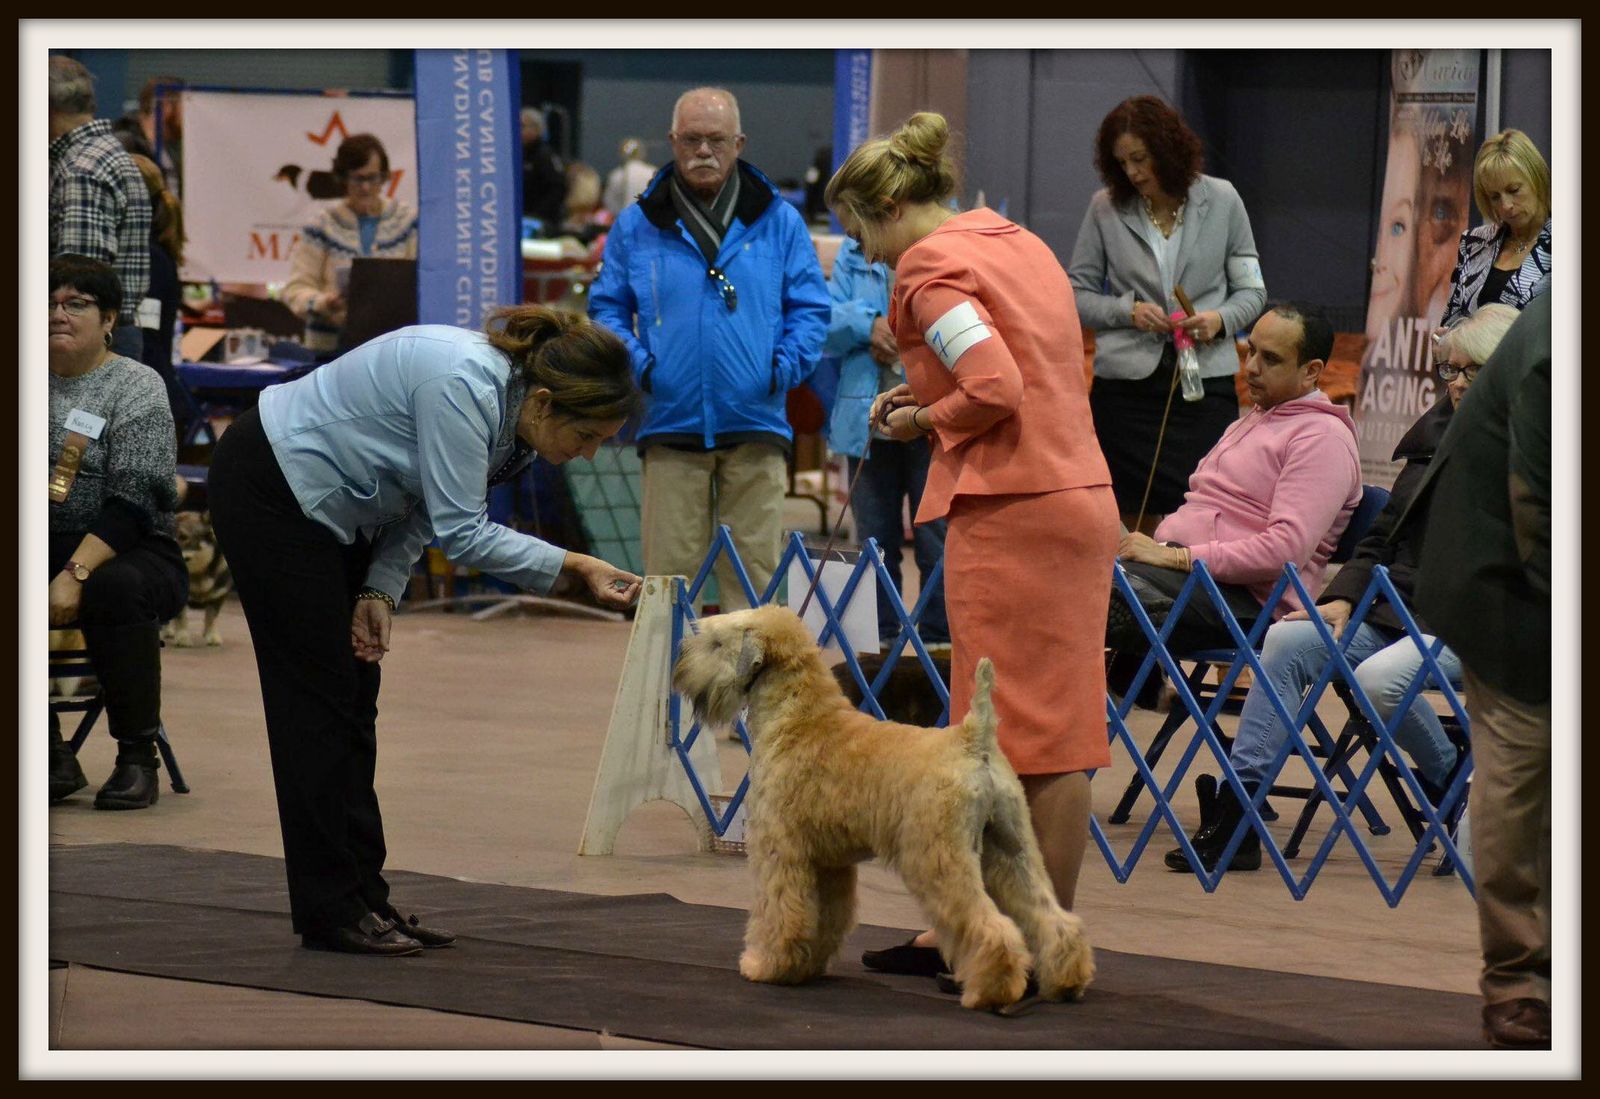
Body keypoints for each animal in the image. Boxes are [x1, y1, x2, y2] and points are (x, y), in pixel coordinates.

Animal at [164, 511, 231, 647]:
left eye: (183, 537)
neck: (198, 574)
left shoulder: (218, 597)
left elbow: (211, 617)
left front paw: (212, 635)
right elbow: (182, 619)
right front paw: (183, 637)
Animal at [673, 604, 1094, 1011]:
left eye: (714, 642)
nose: (679, 663)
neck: (797, 716)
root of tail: (975, 740)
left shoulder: (781, 852)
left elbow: (780, 914)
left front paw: (766, 965)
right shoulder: (829, 863)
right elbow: (826, 917)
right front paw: (807, 965)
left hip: (938, 858)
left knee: (990, 926)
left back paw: (989, 991)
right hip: (1011, 853)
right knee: (1052, 918)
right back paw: (1066, 980)